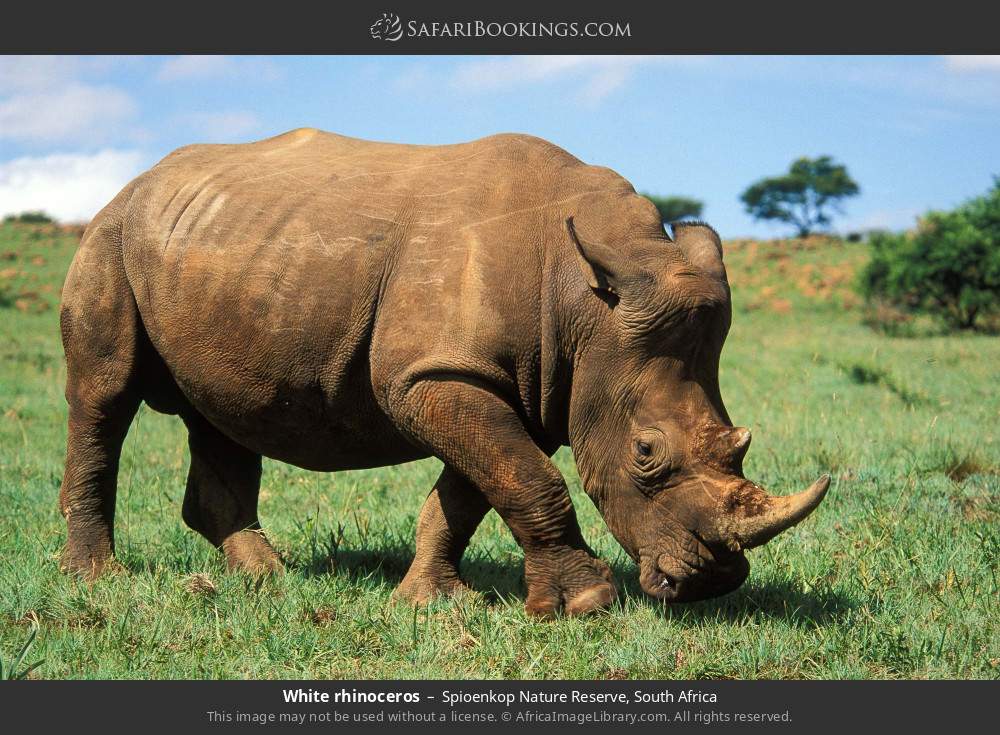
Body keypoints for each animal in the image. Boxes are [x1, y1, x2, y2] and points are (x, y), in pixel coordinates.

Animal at [58, 129, 830, 616]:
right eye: (646, 452)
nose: (713, 583)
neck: (583, 298)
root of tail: (138, 181)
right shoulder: (434, 376)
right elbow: (528, 480)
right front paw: (587, 604)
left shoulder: (519, 381)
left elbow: (480, 487)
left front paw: (431, 600)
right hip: (110, 236)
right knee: (103, 397)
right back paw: (97, 579)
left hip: (215, 251)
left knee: (224, 412)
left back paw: (268, 579)